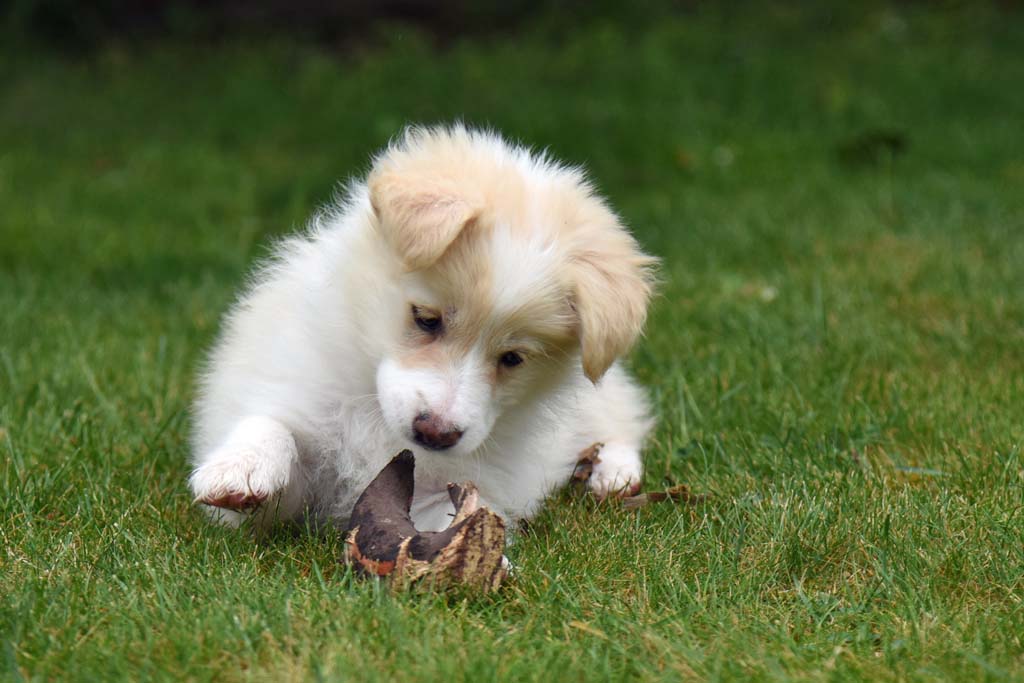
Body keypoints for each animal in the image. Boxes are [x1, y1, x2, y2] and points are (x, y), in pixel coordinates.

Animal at [190, 125, 655, 532]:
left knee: (621, 416)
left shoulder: (448, 484)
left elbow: (450, 518)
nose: (435, 434)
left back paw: (611, 471)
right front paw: (241, 469)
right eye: (426, 319)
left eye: (513, 358)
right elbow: (273, 428)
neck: (374, 411)